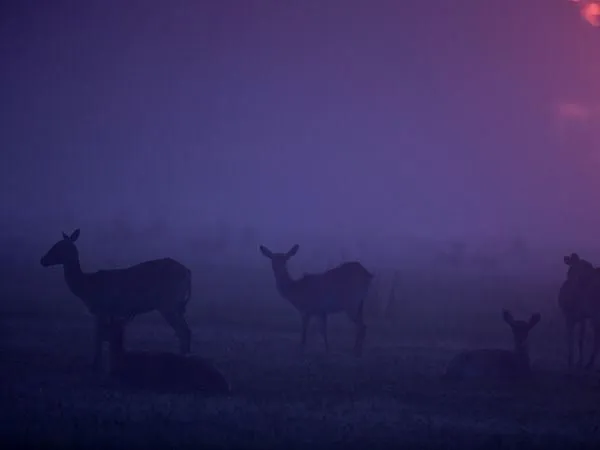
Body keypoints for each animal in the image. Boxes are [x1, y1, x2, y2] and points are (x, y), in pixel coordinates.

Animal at [40, 230, 192, 370]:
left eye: (59, 247)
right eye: (56, 244)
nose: (42, 260)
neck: (87, 286)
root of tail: (188, 272)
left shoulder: (101, 308)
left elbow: (98, 337)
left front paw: (96, 365)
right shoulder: (108, 312)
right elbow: (104, 335)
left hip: (168, 303)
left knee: (183, 330)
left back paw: (181, 359)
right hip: (175, 305)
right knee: (184, 330)